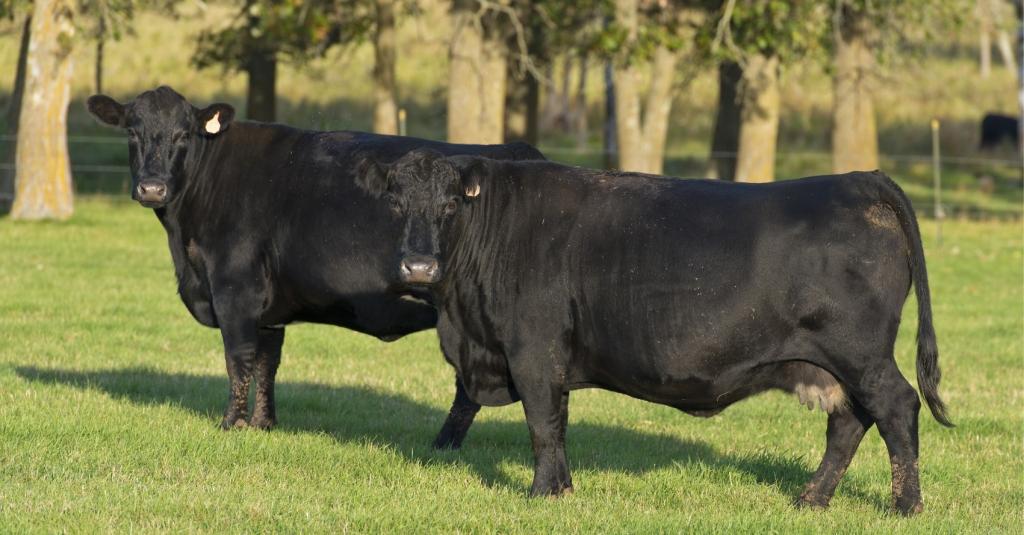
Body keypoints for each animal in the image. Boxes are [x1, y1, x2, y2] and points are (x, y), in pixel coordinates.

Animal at [85, 86, 543, 448]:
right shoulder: (268, 308)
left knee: (469, 390)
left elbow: (238, 358)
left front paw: (230, 425)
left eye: (183, 134)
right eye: (132, 131)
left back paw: (443, 445)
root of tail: (519, 152)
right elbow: (267, 361)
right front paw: (263, 423)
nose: (152, 187)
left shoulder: (234, 289)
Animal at [355, 149, 953, 516]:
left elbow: (543, 423)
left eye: (451, 203)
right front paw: (563, 489)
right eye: (396, 202)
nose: (418, 267)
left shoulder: (533, 351)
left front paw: (543, 493)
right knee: (849, 422)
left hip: (861, 354)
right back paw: (811, 498)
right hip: (835, 364)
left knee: (896, 408)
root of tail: (858, 179)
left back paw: (905, 505)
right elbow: (555, 424)